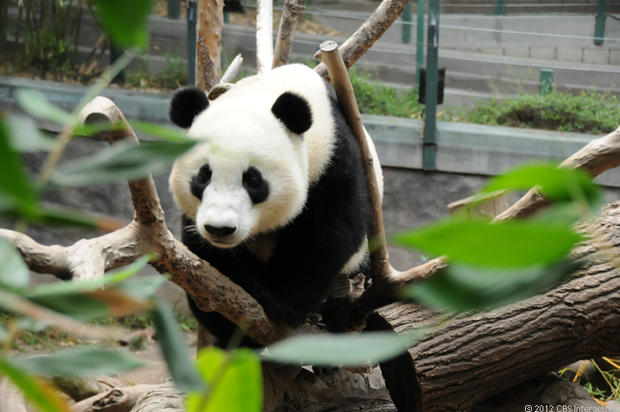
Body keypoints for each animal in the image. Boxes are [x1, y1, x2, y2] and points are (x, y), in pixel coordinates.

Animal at [170, 63, 382, 348]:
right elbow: (203, 252)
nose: (219, 229)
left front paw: (279, 303)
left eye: (252, 180)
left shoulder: (333, 160)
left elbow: (329, 232)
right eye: (203, 177)